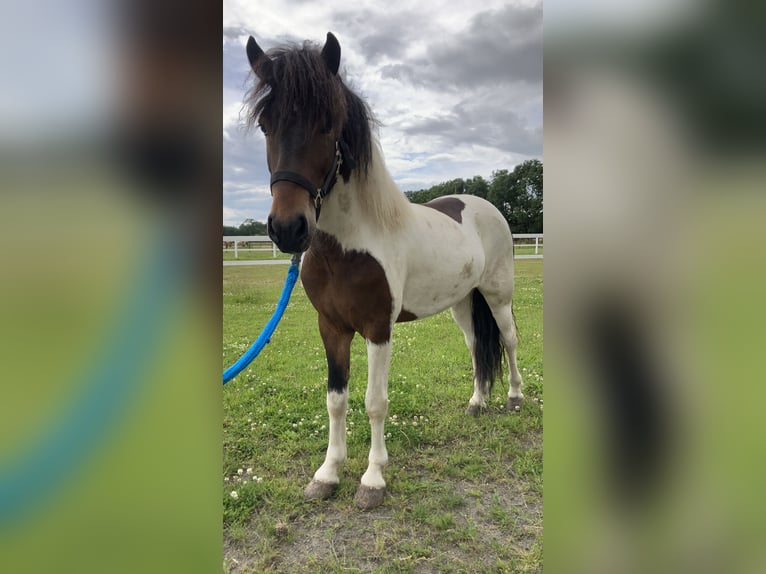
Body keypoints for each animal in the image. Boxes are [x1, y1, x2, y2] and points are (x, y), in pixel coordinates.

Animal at [244, 32, 523, 509]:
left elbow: (375, 401)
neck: (349, 245)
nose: (288, 229)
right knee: (475, 347)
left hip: (497, 295)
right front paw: (327, 474)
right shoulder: (331, 327)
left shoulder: (378, 328)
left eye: (328, 124)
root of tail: (484, 205)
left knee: (507, 340)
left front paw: (373, 479)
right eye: (266, 124)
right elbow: (336, 400)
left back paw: (514, 397)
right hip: (462, 303)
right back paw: (476, 402)